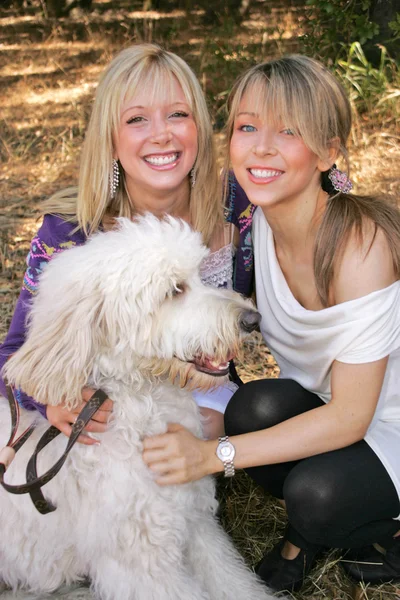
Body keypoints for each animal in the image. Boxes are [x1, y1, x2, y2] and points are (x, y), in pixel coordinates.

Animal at [0, 216, 276, 600]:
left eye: (199, 275)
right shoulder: (142, 564)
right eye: (174, 290)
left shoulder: (195, 523)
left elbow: (232, 581)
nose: (252, 319)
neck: (143, 402)